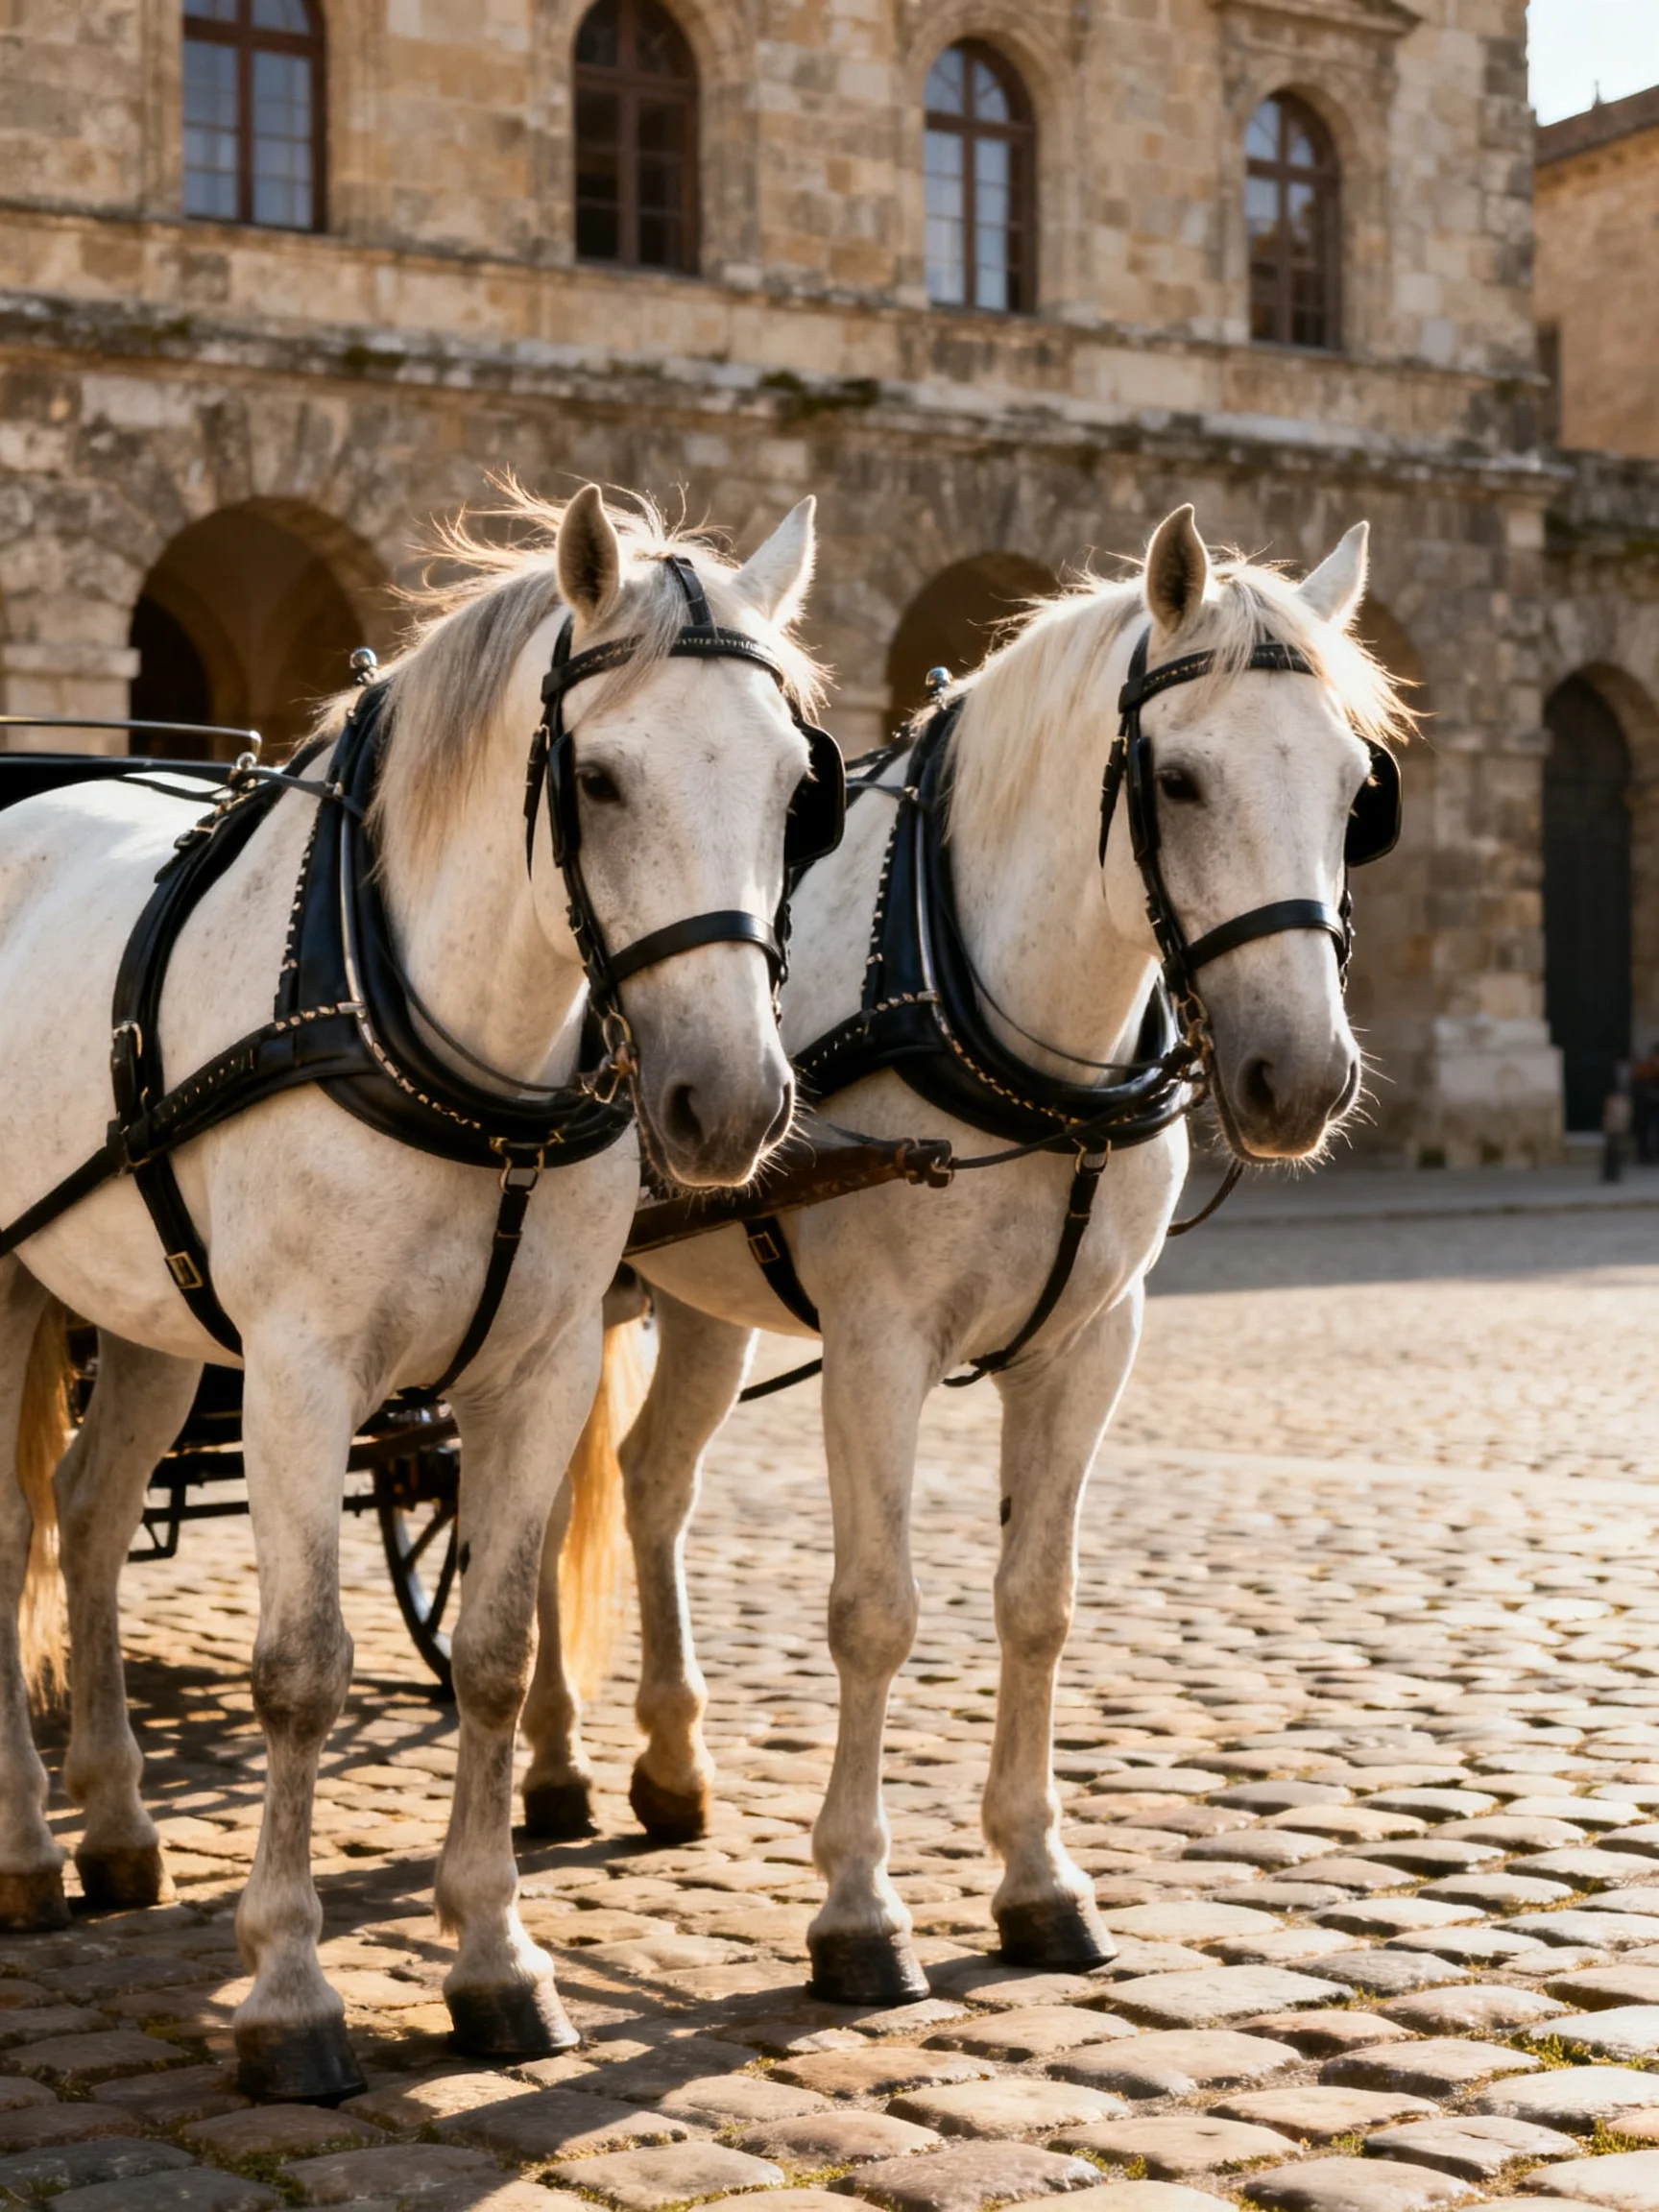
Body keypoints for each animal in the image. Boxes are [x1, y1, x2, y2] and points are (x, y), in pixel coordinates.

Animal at [0, 481, 829, 2098]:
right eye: (601, 780)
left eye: (792, 789)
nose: (729, 1105)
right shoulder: (301, 1369)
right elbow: (302, 1671)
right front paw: (290, 1990)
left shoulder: (537, 1367)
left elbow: (499, 1657)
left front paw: (496, 1958)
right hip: (8, 1289)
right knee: (13, 1540)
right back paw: (24, 1849)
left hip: (148, 1310)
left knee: (89, 1512)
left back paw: (117, 1824)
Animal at [519, 505, 1413, 2003]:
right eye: (1178, 780)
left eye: (1359, 793)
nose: (1299, 1079)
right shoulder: (878, 1347)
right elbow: (877, 1612)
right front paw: (859, 1909)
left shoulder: (1090, 1345)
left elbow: (1037, 1603)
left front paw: (1039, 1878)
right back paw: (551, 1758)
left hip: (703, 1296)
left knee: (649, 1488)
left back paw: (667, 1760)